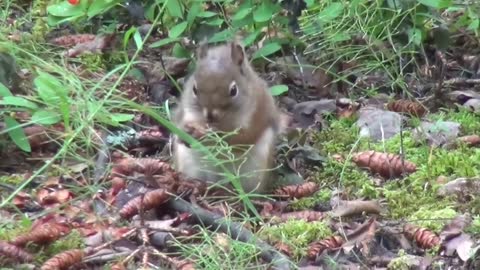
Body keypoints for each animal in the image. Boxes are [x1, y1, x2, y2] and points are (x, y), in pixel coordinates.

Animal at [172, 39, 282, 193]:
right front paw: (185, 132)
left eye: (233, 90)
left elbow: (241, 138)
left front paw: (209, 135)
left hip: (256, 172)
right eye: (194, 89)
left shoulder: (256, 115)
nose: (210, 115)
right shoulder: (186, 111)